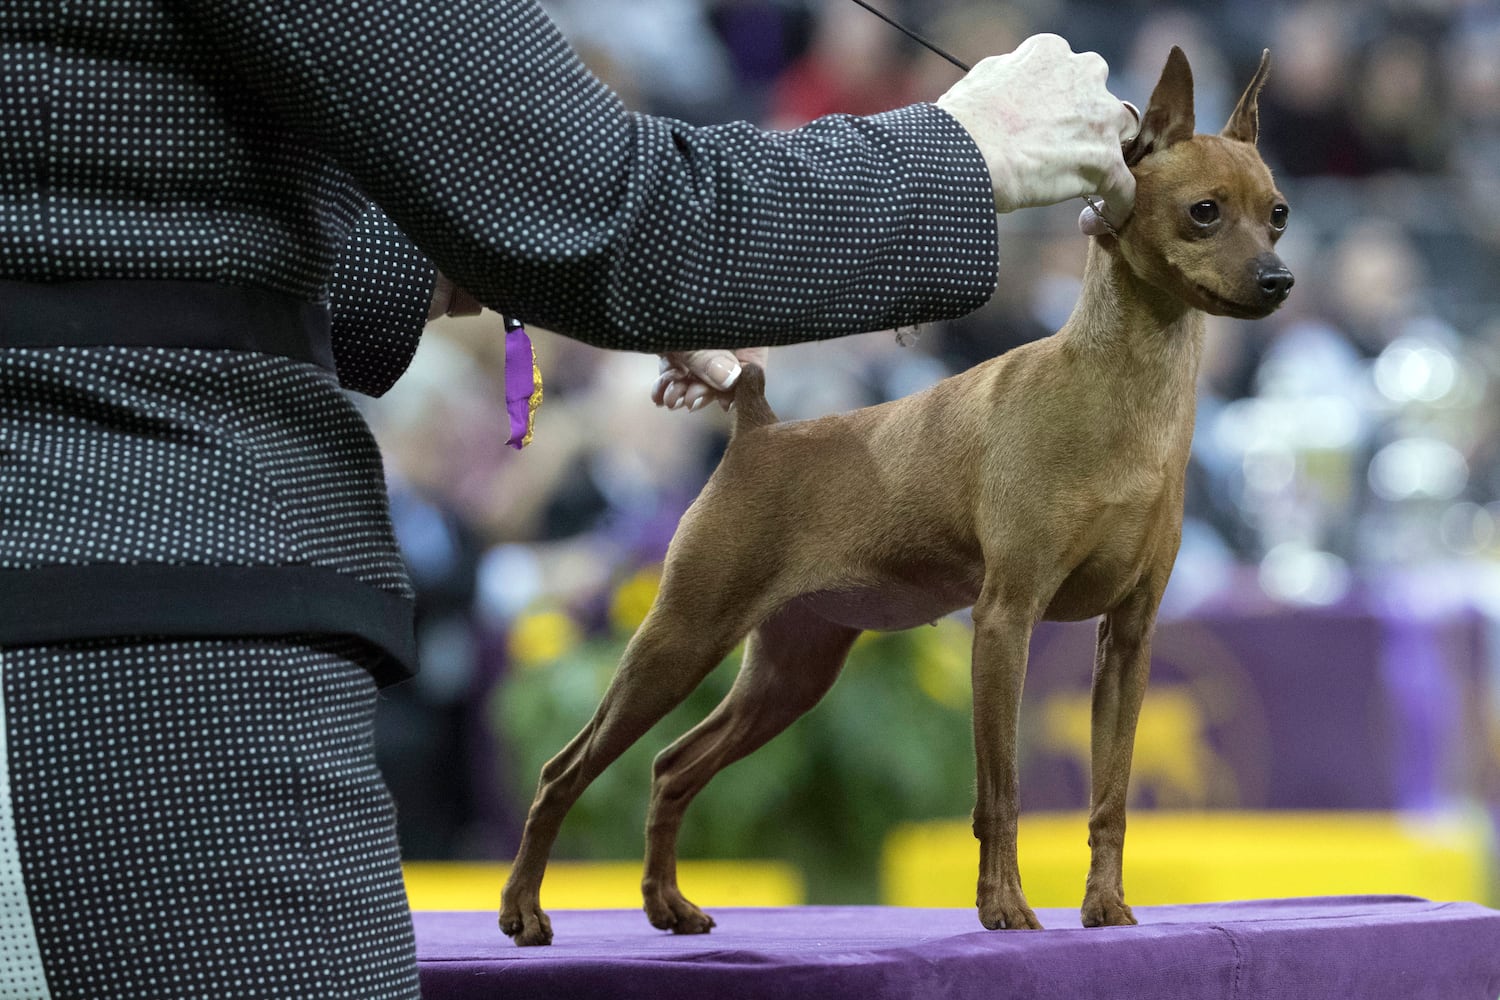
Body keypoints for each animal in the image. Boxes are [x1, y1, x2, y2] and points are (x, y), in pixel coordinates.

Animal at [501, 43, 1290, 941]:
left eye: (1278, 215)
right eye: (1204, 213)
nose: (1279, 279)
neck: (1125, 396)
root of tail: (758, 428)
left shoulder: (1128, 640)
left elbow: (1111, 794)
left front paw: (1104, 906)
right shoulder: (1005, 621)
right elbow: (999, 792)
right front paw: (1004, 907)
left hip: (790, 674)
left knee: (672, 767)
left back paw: (668, 903)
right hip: (680, 640)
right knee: (565, 770)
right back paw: (524, 909)